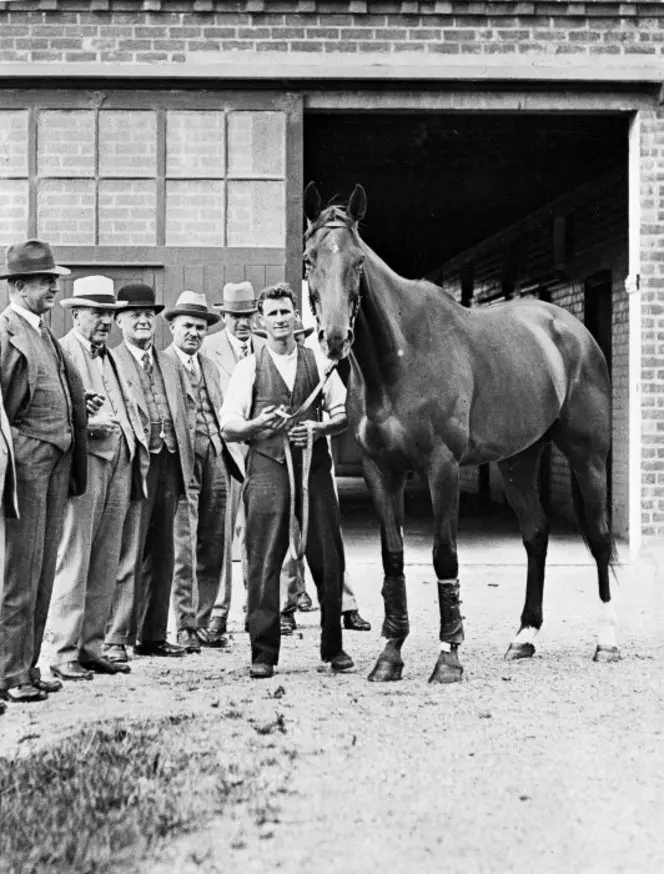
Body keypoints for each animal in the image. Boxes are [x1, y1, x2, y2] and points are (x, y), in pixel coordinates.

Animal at [303, 182, 618, 684]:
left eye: (358, 261)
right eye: (309, 258)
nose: (334, 339)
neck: (401, 356)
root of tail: (572, 331)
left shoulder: (442, 467)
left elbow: (443, 556)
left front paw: (448, 657)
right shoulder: (381, 471)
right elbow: (393, 557)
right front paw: (389, 656)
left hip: (587, 455)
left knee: (601, 538)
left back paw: (606, 642)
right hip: (517, 461)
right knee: (536, 535)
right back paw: (524, 636)